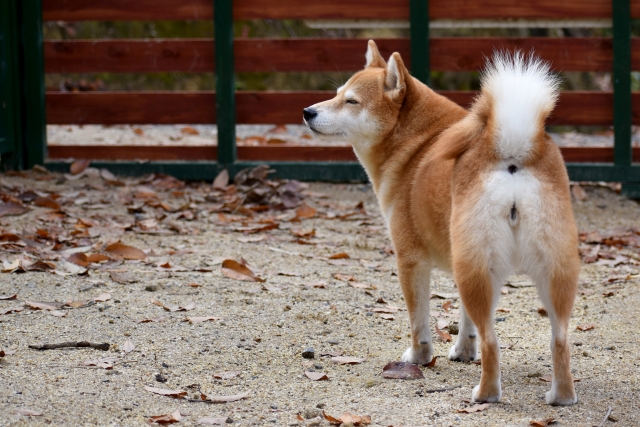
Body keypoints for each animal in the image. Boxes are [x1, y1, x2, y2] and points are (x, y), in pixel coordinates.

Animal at [304, 41, 580, 406]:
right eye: (336, 94)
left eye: (351, 101)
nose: (308, 111)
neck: (417, 141)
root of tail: (511, 152)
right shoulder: (465, 265)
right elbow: (467, 321)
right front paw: (463, 351)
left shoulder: (411, 260)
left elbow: (418, 322)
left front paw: (418, 357)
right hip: (534, 272)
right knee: (559, 339)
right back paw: (560, 396)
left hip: (478, 267)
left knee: (494, 342)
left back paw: (485, 393)